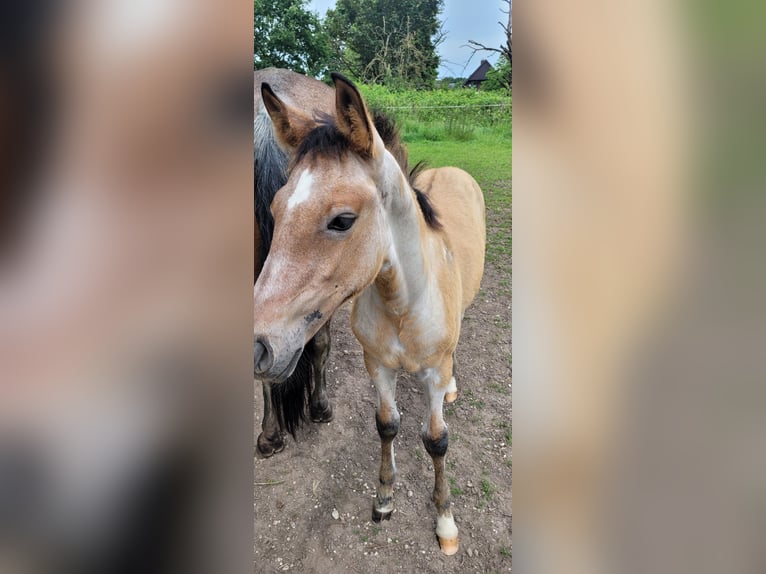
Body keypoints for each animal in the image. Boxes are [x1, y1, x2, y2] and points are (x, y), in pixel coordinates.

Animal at [253, 73, 486, 555]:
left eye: (342, 220)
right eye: (274, 209)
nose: (258, 346)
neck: (402, 304)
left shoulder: (433, 372)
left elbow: (437, 440)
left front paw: (446, 524)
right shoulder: (377, 365)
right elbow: (387, 426)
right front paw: (384, 500)